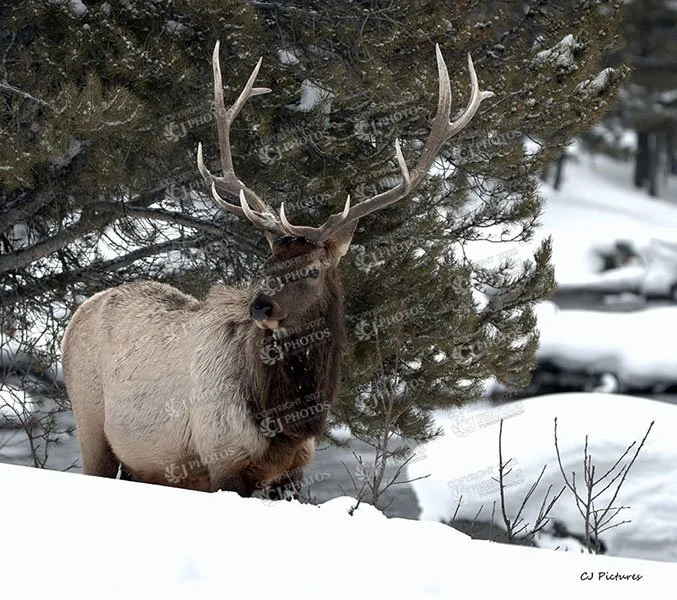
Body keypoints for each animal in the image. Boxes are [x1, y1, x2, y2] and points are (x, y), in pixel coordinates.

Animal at [61, 41, 492, 498]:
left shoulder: (295, 469)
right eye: (266, 265)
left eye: (312, 270)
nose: (261, 308)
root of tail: (80, 311)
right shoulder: (222, 458)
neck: (285, 419)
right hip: (90, 421)